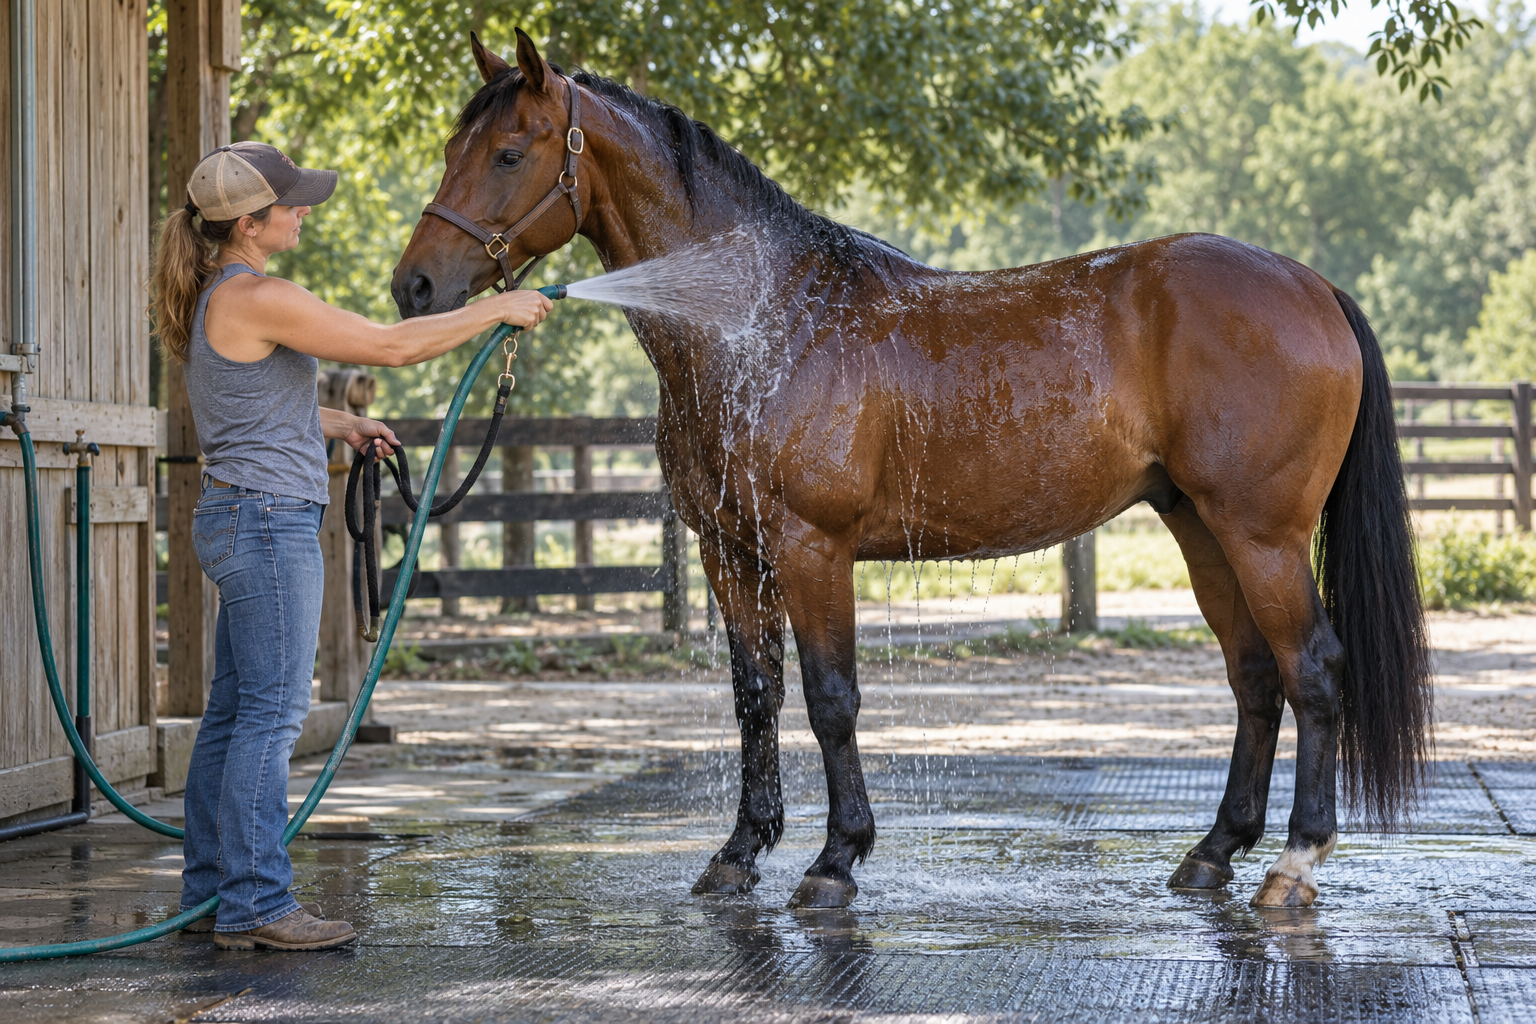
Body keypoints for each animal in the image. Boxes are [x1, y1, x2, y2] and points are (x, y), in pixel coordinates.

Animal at [392, 30, 1431, 910]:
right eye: (450, 146)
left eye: (510, 152)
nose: (414, 288)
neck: (761, 323)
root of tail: (1311, 285)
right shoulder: (730, 554)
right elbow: (756, 699)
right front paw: (738, 853)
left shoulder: (813, 549)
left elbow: (832, 700)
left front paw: (834, 860)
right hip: (1199, 527)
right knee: (1255, 676)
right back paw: (1213, 853)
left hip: (1262, 534)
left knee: (1312, 669)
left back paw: (1293, 865)